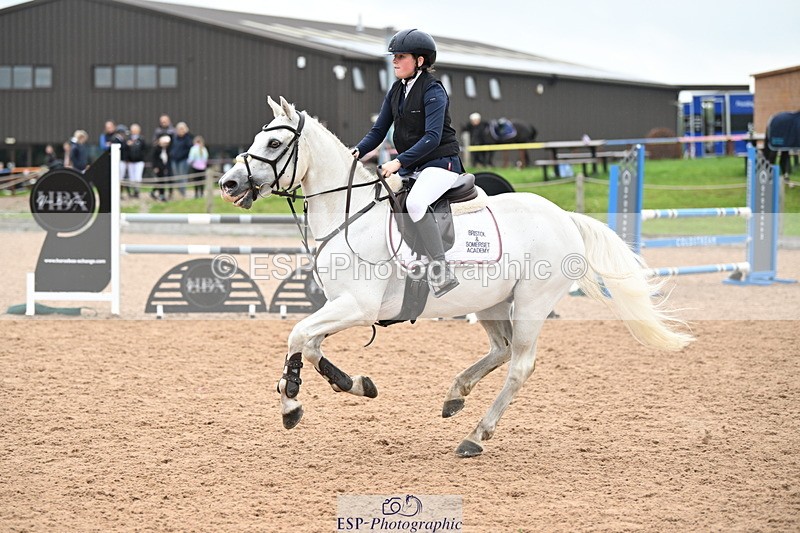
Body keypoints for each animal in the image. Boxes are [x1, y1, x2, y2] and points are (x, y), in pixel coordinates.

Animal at [218, 96, 694, 458]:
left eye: (274, 142)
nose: (228, 183)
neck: (350, 215)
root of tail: (565, 217)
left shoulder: (358, 306)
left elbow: (298, 335)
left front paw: (290, 404)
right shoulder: (340, 306)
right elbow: (311, 344)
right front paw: (356, 385)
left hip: (532, 304)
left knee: (520, 364)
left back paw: (475, 436)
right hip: (492, 303)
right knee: (501, 350)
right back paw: (455, 395)